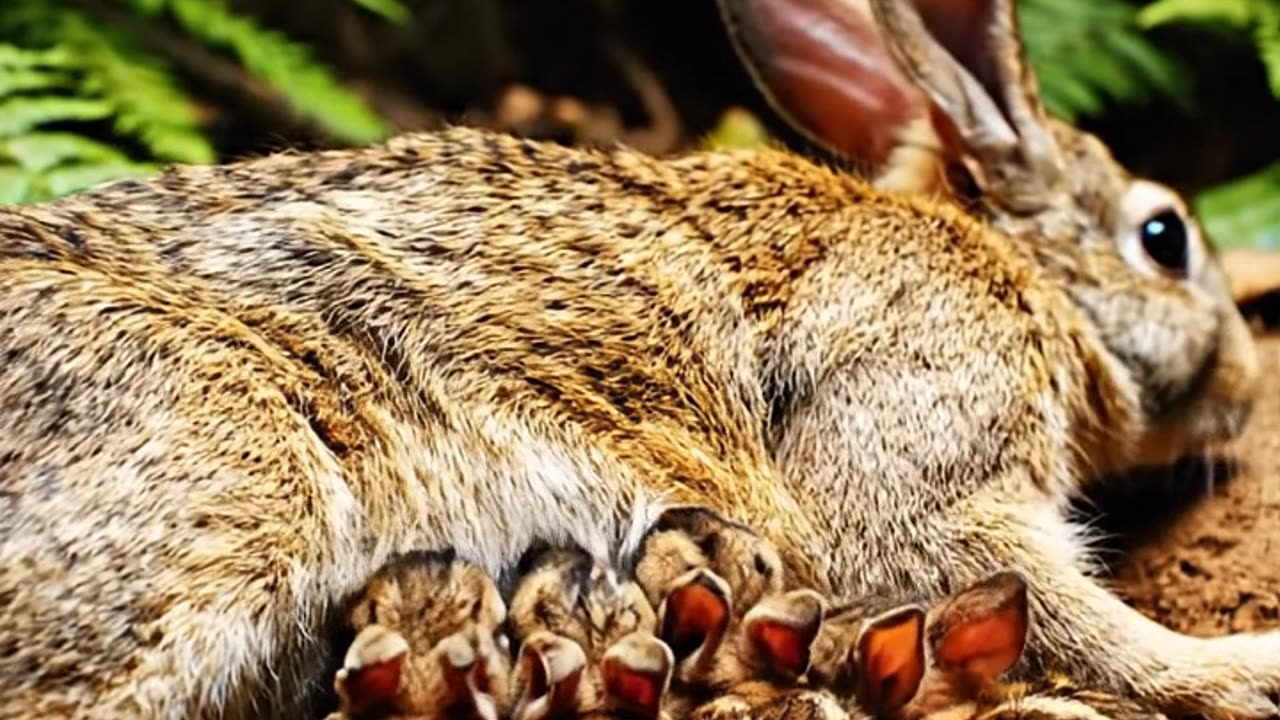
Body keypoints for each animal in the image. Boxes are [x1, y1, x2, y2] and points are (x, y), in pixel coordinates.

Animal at [1, 0, 1277, 716]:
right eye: (1163, 238)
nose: (1242, 385)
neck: (1020, 274)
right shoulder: (924, 452)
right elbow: (1061, 613)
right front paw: (1238, 669)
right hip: (221, 486)